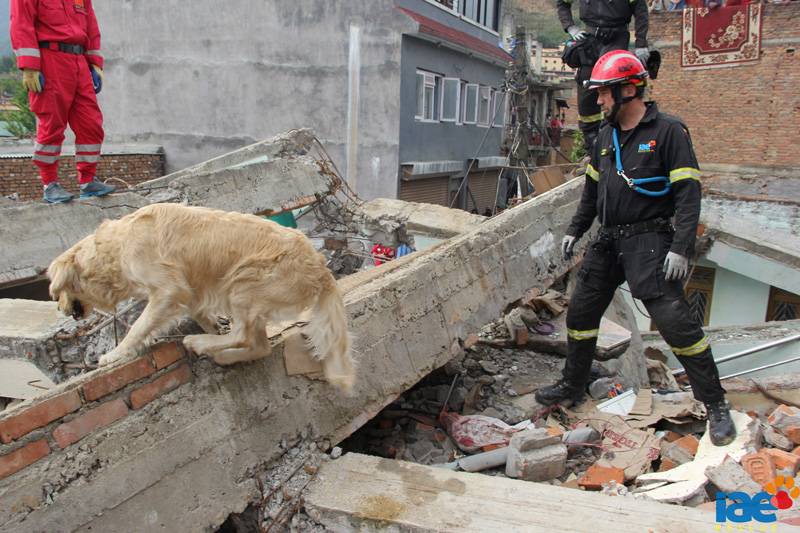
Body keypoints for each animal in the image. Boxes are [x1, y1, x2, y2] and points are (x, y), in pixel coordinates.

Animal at [47, 203, 354, 390]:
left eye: (56, 292)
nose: (59, 309)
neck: (116, 247)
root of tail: (321, 267)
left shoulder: (168, 288)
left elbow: (138, 327)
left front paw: (115, 353)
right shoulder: (189, 288)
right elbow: (195, 309)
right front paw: (212, 326)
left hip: (242, 281)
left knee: (243, 335)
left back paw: (200, 343)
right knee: (258, 346)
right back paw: (223, 354)